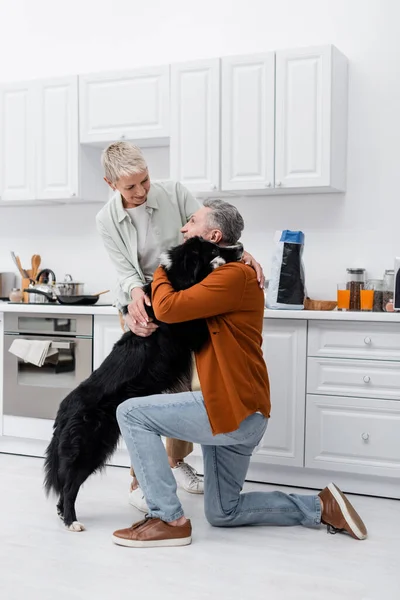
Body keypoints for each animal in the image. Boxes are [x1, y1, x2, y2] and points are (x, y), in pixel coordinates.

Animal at [44, 237, 244, 532]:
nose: (241, 248)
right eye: (214, 249)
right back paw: (72, 522)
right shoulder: (193, 330)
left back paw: (63, 516)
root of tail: (63, 410)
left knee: (66, 485)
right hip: (92, 446)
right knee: (69, 486)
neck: (180, 278)